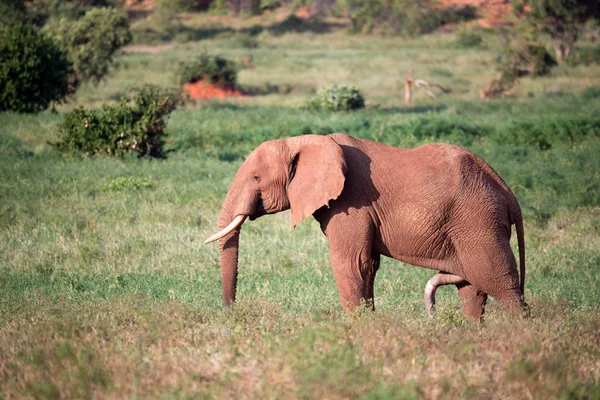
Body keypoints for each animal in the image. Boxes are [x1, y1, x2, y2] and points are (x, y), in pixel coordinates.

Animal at [206, 133, 524, 320]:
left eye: (256, 178)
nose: (230, 311)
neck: (304, 141)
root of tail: (509, 194)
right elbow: (368, 265)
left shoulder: (352, 201)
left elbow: (350, 262)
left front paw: (356, 331)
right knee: (473, 288)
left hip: (477, 220)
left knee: (500, 282)